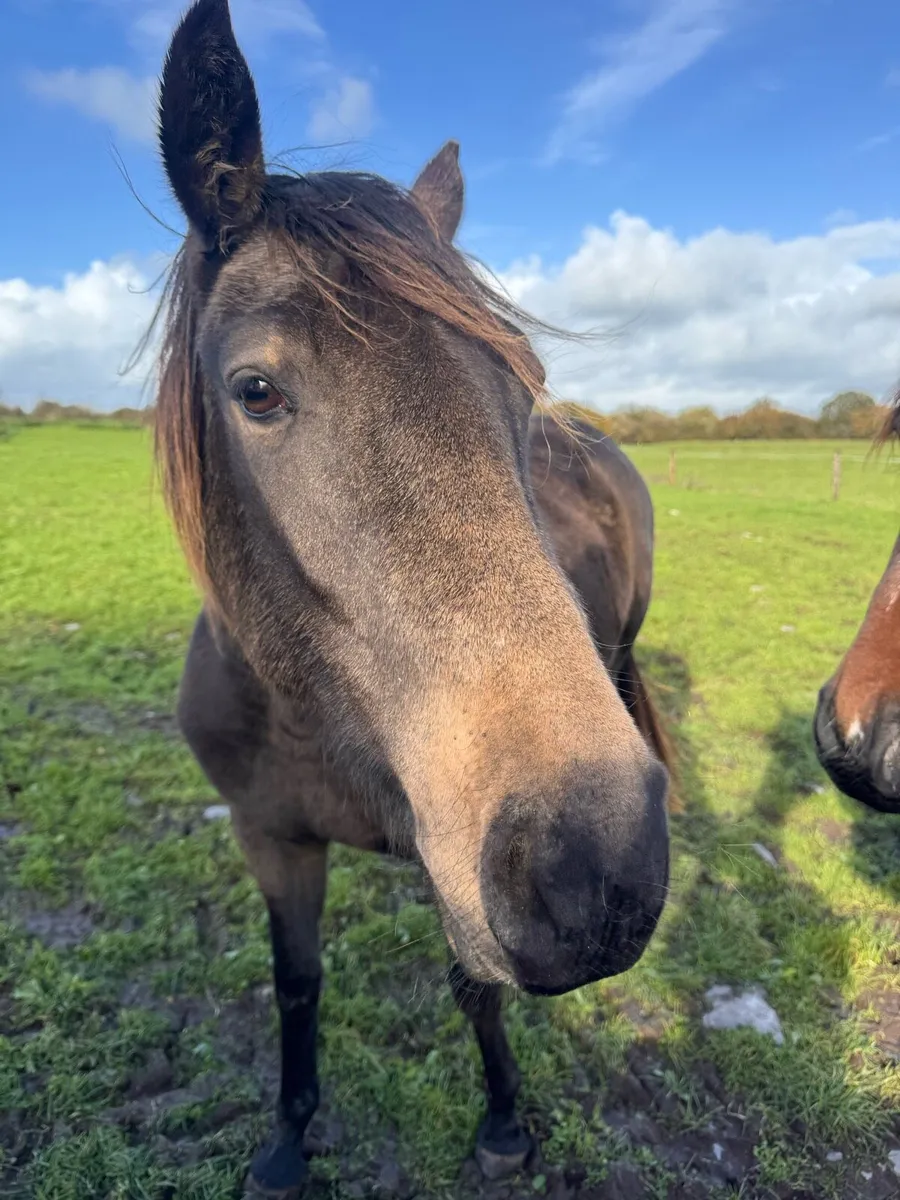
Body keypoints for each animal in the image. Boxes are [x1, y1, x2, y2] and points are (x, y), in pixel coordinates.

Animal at [153, 2, 672, 1192]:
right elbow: (296, 987)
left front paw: (504, 1121)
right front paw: (287, 1140)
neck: (308, 713)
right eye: (257, 390)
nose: (597, 871)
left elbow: (475, 987)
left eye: (522, 387)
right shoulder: (270, 838)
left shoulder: (450, 859)